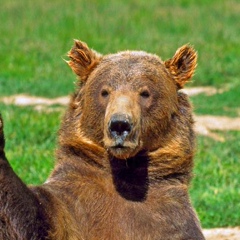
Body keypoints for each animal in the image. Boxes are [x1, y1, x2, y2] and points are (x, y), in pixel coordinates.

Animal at [0, 40, 204, 239]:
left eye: (145, 93)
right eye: (105, 91)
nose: (120, 125)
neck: (125, 171)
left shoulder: (170, 215)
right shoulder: (74, 203)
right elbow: (37, 215)